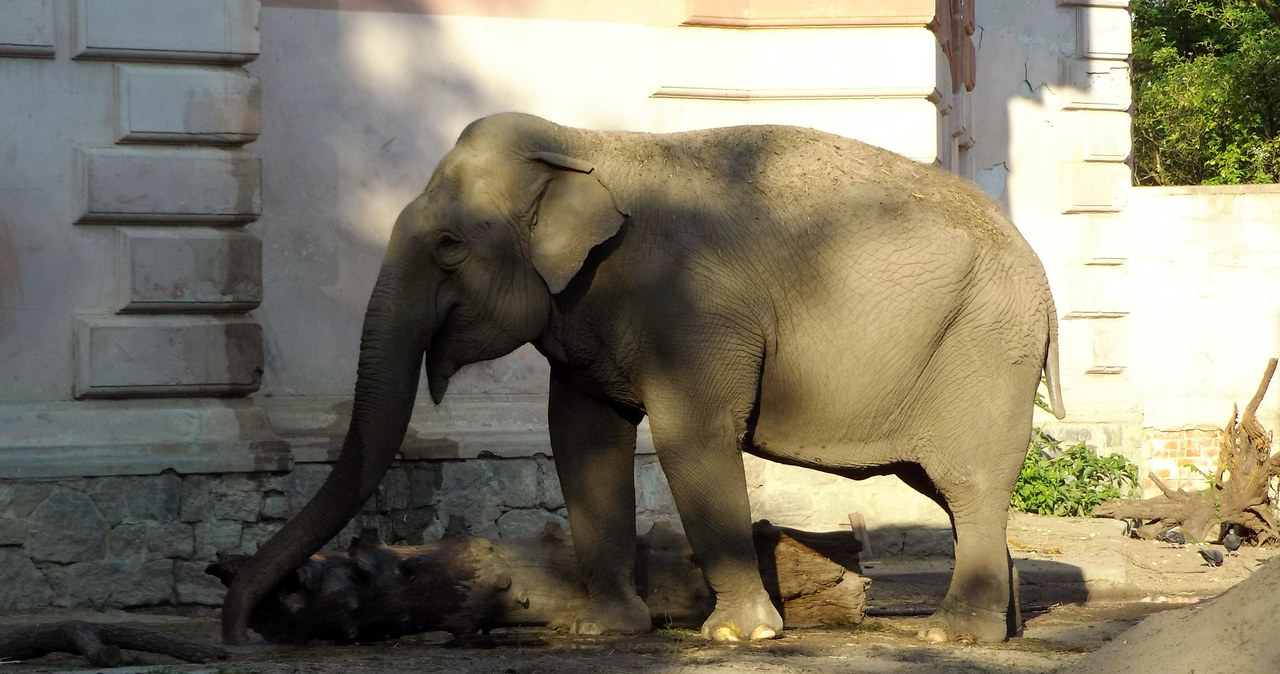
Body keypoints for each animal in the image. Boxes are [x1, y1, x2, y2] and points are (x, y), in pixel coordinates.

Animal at [225, 113, 1064, 647]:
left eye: (448, 244)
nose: (247, 638)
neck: (581, 145)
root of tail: (1043, 278)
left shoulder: (693, 310)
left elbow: (692, 439)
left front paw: (738, 634)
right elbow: (581, 441)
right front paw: (602, 629)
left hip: (985, 349)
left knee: (968, 481)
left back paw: (954, 635)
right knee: (951, 490)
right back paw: (1002, 628)